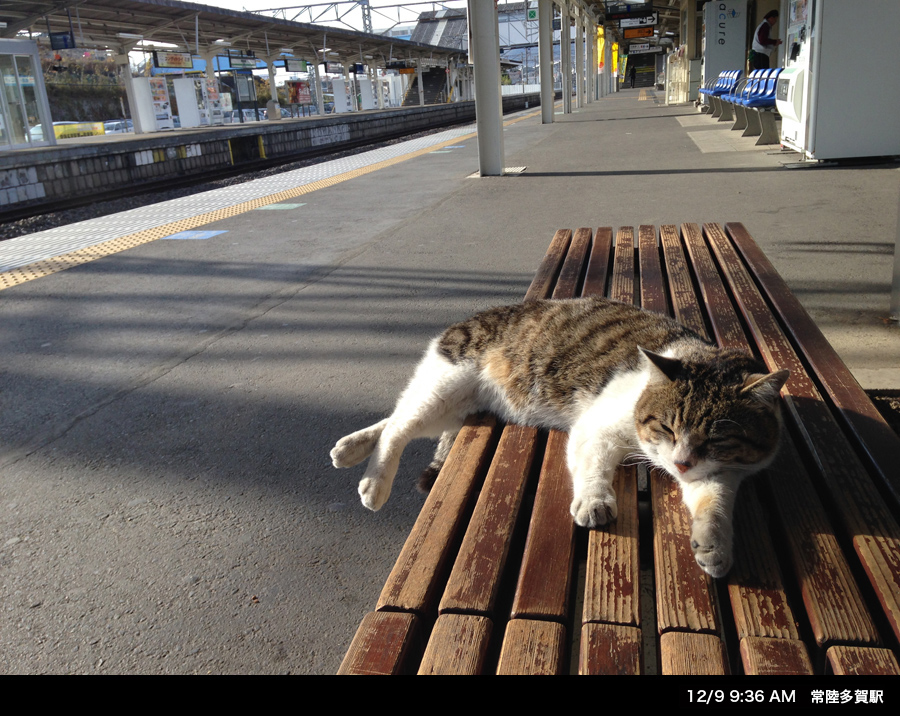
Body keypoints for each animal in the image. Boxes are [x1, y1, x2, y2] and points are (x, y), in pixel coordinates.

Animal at [330, 300, 788, 580]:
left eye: (716, 439)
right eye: (667, 427)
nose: (680, 463)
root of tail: (475, 316)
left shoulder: (720, 472)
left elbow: (715, 503)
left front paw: (714, 545)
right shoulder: (596, 426)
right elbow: (593, 468)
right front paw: (595, 501)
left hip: (454, 406)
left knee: (396, 417)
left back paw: (351, 447)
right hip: (446, 385)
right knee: (399, 427)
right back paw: (373, 483)